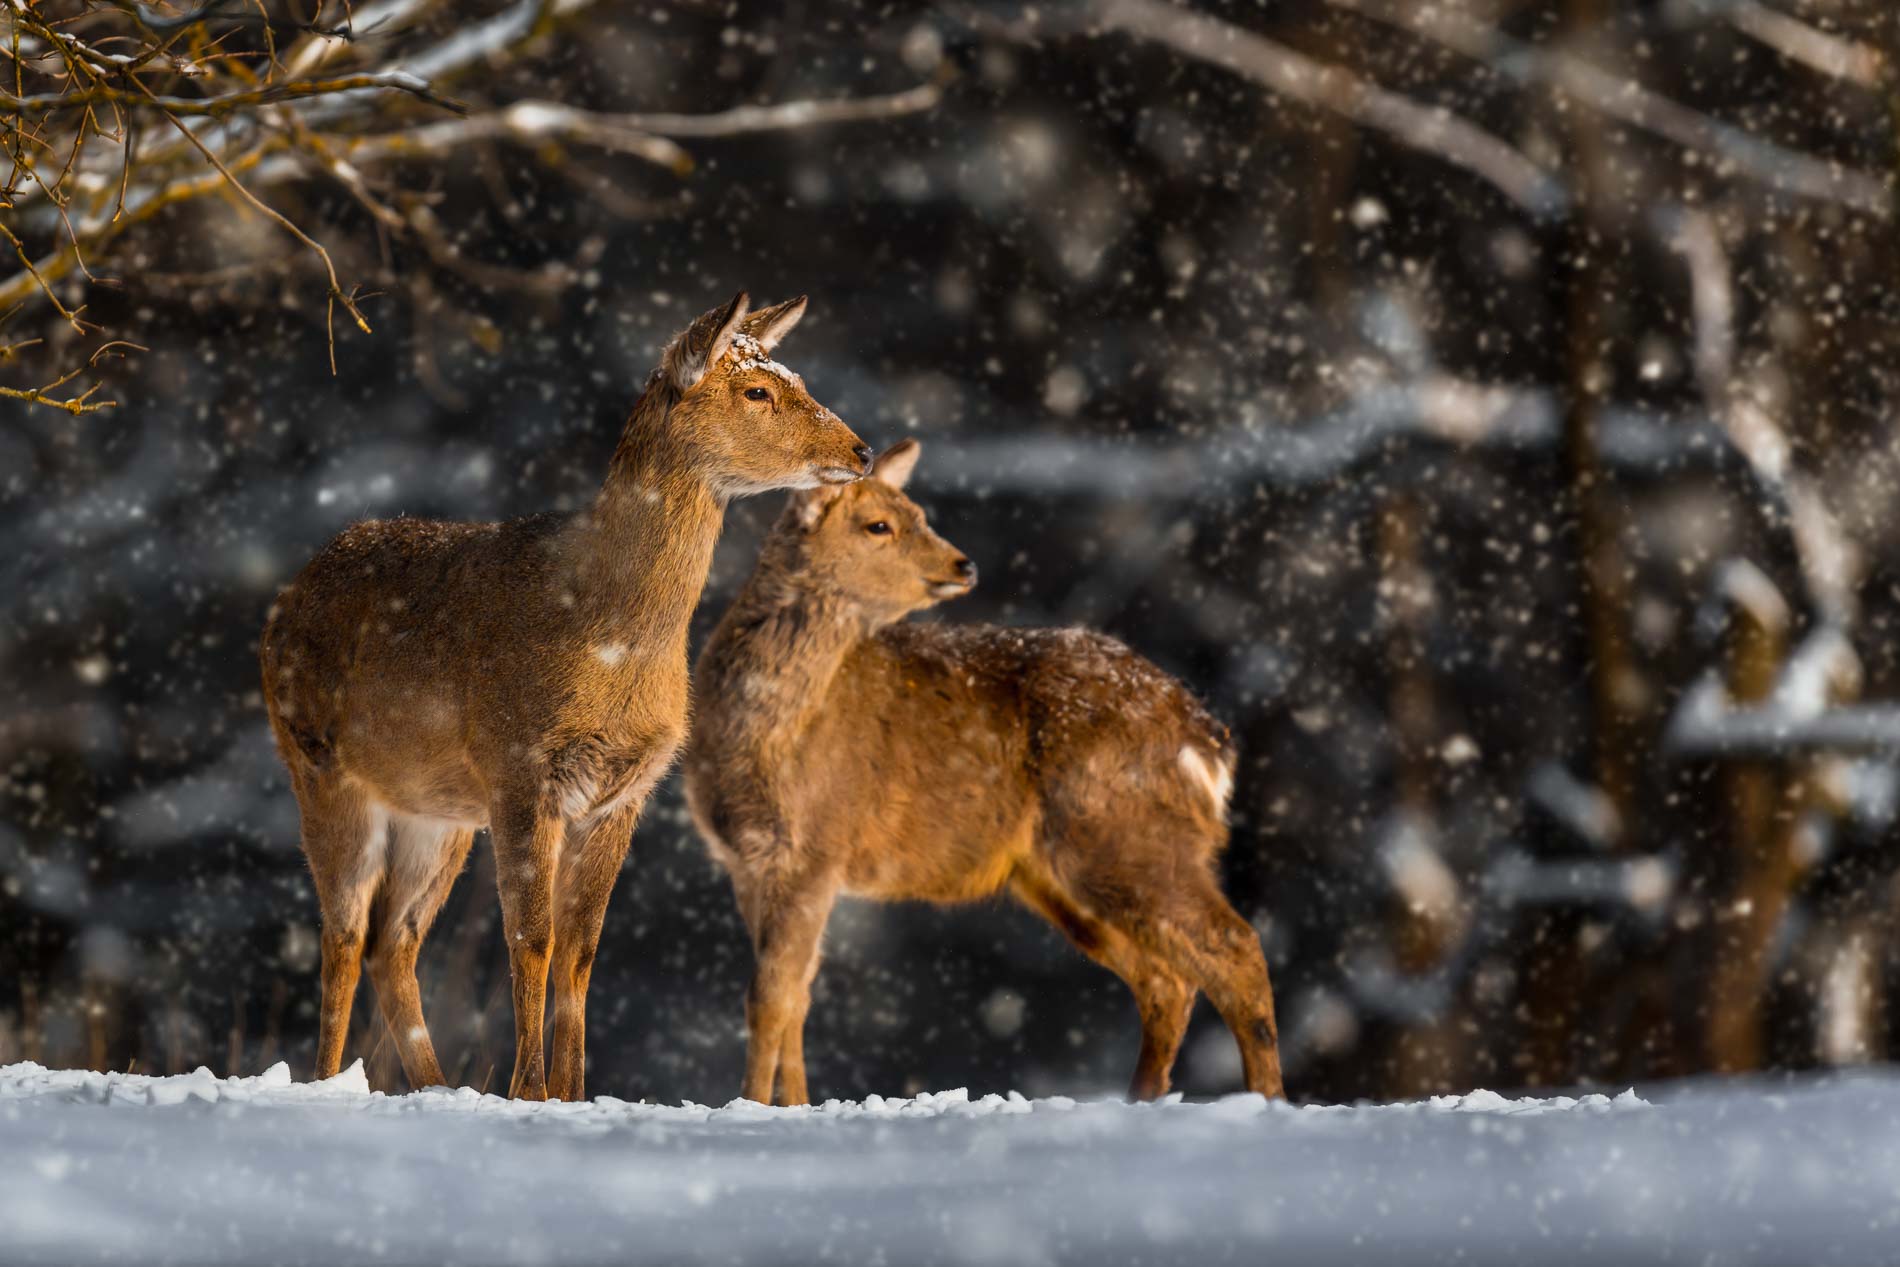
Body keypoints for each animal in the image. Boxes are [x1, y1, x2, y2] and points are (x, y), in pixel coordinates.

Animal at [260, 290, 870, 1101]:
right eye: (756, 391)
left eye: (791, 374)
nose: (860, 451)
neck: (607, 638)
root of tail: (285, 597)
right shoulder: (520, 764)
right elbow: (532, 937)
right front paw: (530, 1091)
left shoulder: (624, 790)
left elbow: (581, 948)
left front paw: (573, 1092)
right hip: (321, 768)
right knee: (344, 934)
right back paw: (329, 1084)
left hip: (437, 810)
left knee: (395, 940)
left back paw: (441, 1087)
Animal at [676, 440, 1284, 1101]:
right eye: (879, 525)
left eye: (918, 513)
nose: (963, 564)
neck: (771, 731)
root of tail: (1207, 739)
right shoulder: (749, 861)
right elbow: (795, 997)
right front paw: (793, 1106)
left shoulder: (818, 844)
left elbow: (770, 997)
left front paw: (750, 1104)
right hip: (1060, 873)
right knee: (1164, 980)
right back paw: (1144, 1098)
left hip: (1126, 831)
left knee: (1234, 946)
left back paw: (1266, 1097)